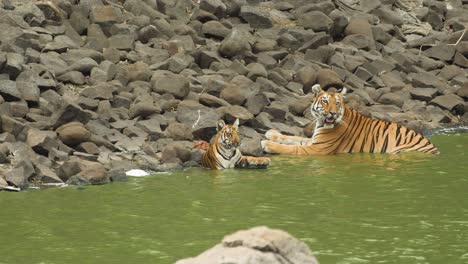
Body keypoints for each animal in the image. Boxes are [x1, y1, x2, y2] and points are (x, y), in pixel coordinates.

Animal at [262, 84, 440, 155]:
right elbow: (293, 138)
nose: (333, 113)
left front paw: (267, 144)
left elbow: (292, 148)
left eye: (337, 103)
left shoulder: (317, 149)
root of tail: (436, 150)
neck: (321, 122)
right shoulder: (314, 141)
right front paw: (272, 134)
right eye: (325, 101)